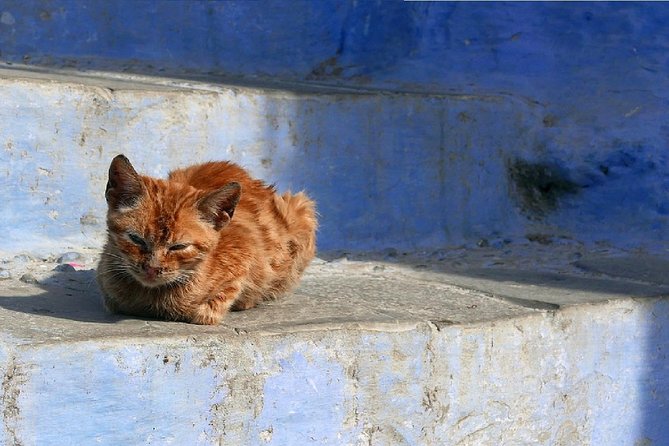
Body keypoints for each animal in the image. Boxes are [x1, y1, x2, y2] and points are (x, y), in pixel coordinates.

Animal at [96, 154, 318, 324]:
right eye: (136, 239)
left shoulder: (248, 253)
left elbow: (219, 300)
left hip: (302, 209)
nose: (152, 268)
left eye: (179, 246)